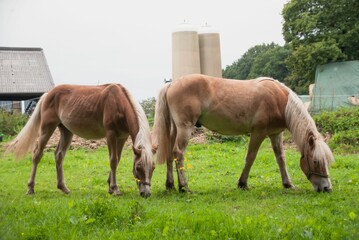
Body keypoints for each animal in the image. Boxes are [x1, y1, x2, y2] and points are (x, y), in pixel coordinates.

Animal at [7, 83, 155, 198]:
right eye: (138, 167)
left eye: (153, 167)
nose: (146, 193)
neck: (119, 103)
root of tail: (48, 94)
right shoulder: (111, 135)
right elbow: (113, 160)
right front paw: (115, 188)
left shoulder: (122, 137)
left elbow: (117, 160)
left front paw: (110, 187)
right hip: (47, 128)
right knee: (37, 154)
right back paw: (30, 188)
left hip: (66, 131)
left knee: (59, 155)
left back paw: (63, 188)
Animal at [153, 74, 334, 192]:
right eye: (316, 161)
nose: (327, 188)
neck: (279, 99)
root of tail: (172, 84)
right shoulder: (258, 133)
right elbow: (251, 157)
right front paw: (242, 183)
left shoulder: (276, 134)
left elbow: (280, 159)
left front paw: (288, 184)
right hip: (185, 128)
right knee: (178, 153)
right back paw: (184, 187)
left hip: (174, 130)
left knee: (170, 154)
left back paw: (170, 185)